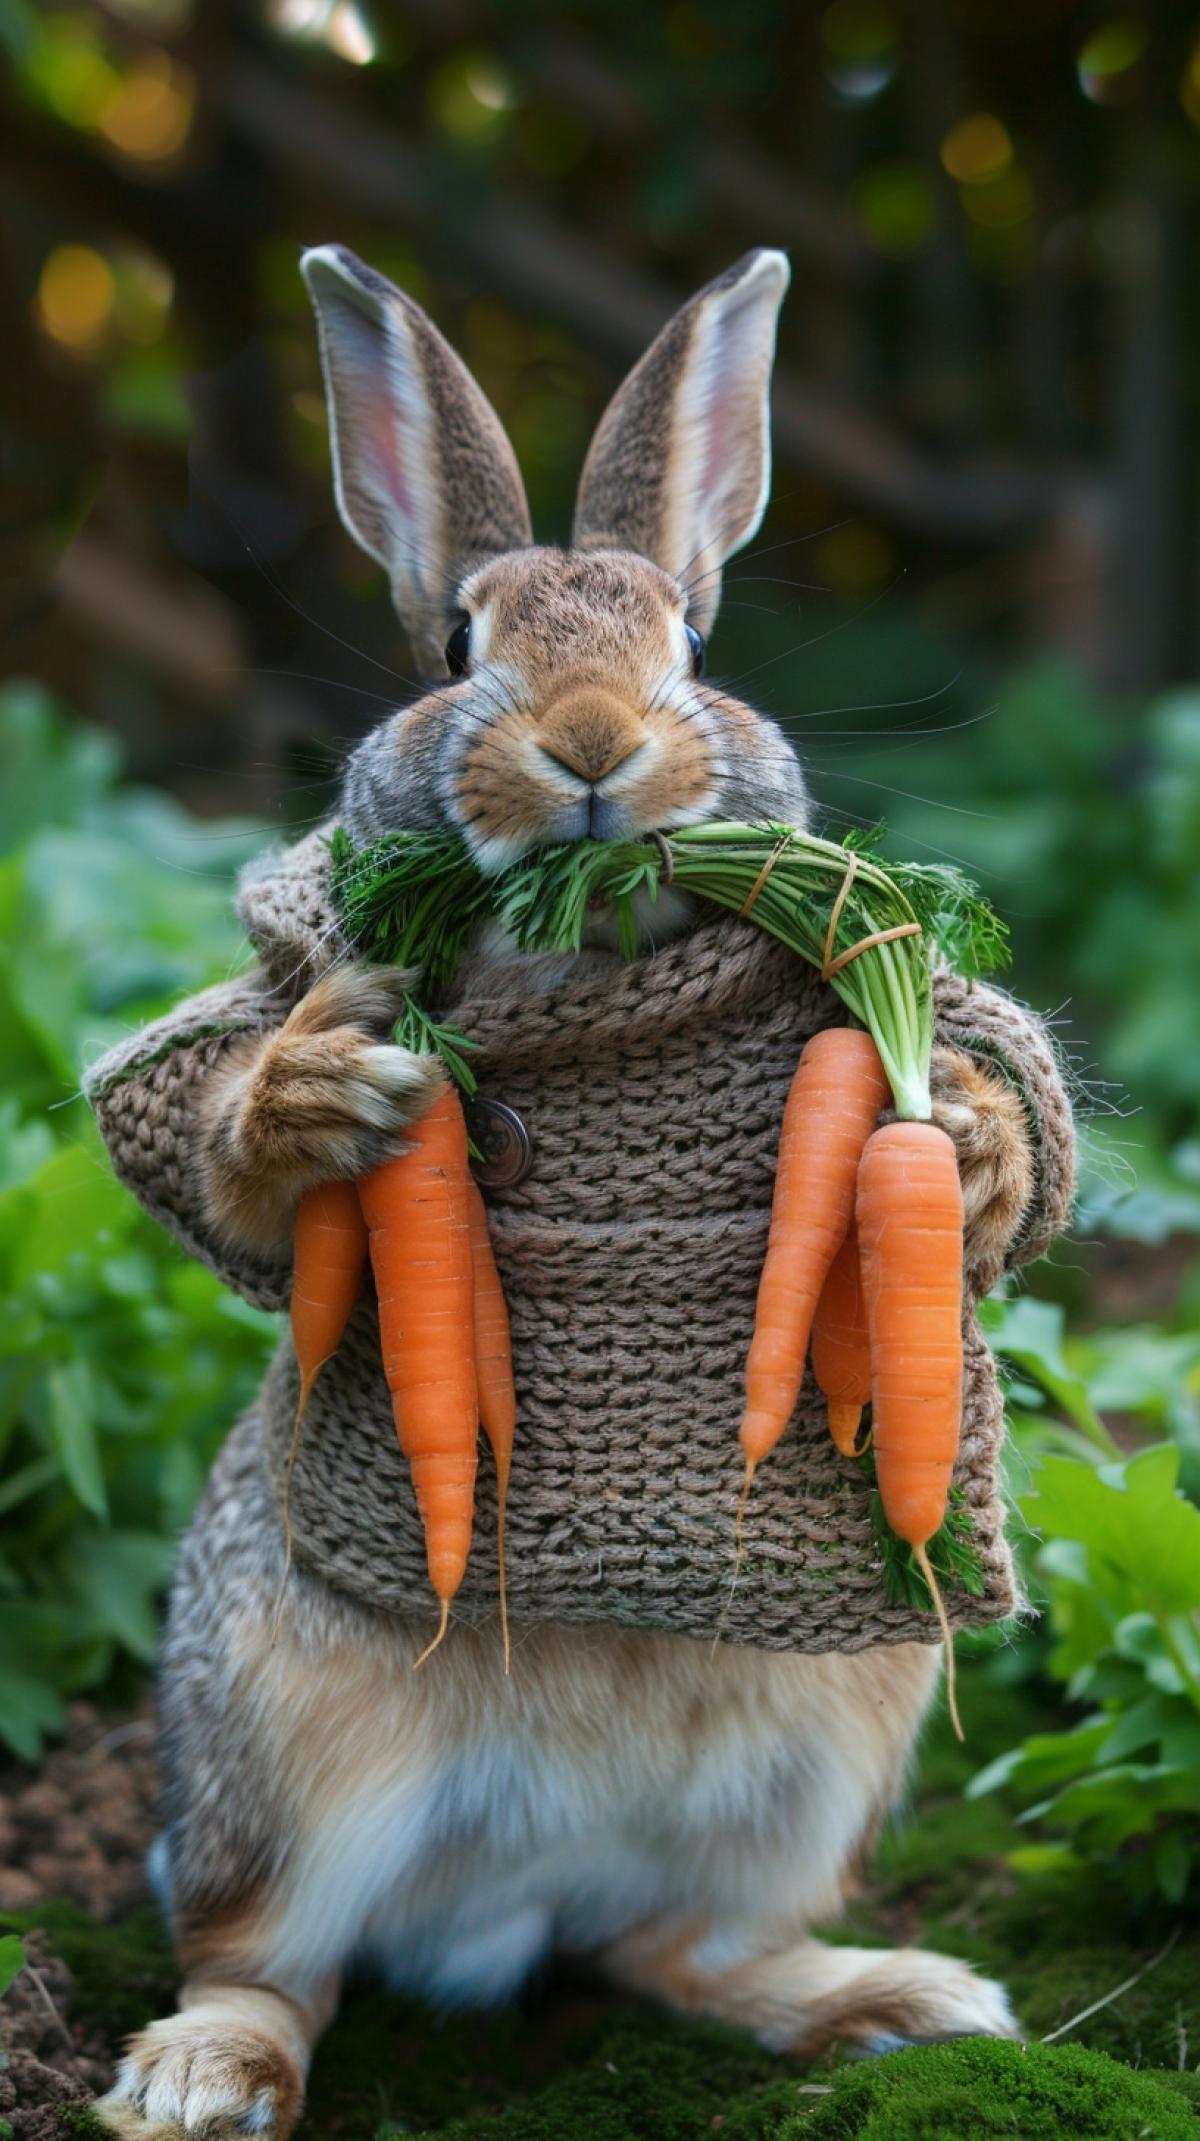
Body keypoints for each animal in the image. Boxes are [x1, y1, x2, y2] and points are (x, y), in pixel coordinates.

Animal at [92, 246, 1062, 2140]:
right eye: (461, 646)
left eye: (689, 641)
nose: (594, 739)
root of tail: (503, 1909)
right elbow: (217, 1142)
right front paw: (332, 1087)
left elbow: (1013, 1144)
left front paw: (966, 1127)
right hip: (287, 1739)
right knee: (271, 1961)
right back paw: (197, 2081)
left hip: (826, 1737)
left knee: (676, 1949)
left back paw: (905, 2001)